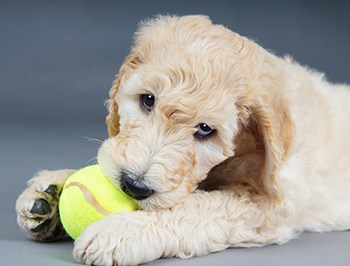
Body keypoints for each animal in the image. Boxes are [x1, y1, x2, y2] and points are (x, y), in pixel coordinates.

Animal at [15, 15, 350, 264]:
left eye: (205, 130)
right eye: (147, 100)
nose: (133, 185)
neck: (249, 148)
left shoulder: (269, 206)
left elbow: (196, 208)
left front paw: (122, 231)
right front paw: (51, 190)